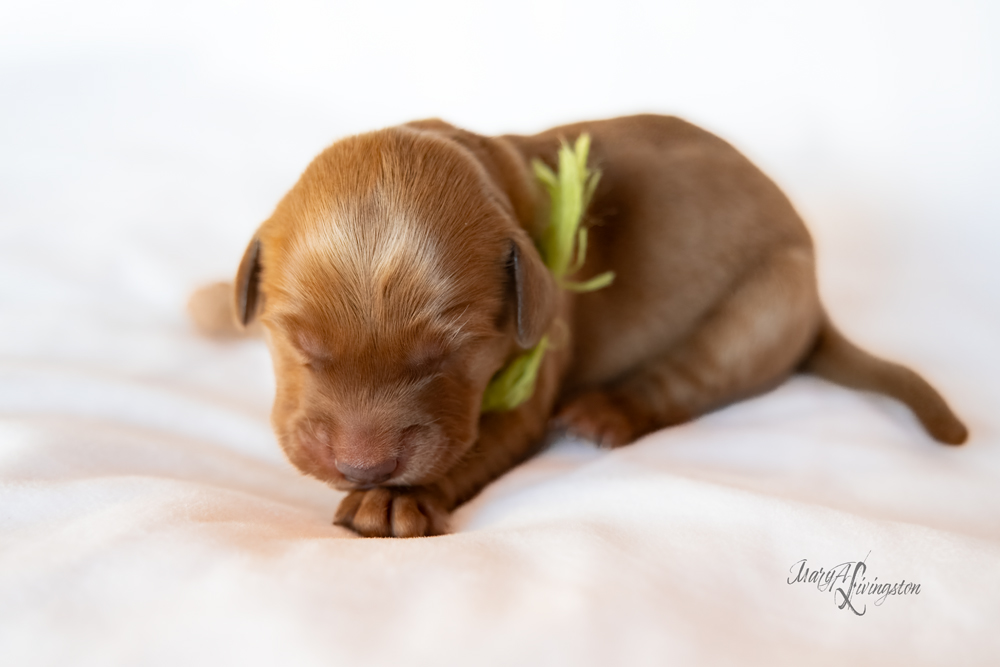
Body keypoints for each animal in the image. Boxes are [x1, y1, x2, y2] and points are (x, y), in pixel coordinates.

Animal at [189, 115, 968, 540]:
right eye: (299, 342)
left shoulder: (536, 360)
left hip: (758, 309)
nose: (363, 465)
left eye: (451, 352)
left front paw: (395, 501)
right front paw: (212, 301)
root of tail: (818, 298)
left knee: (682, 383)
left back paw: (606, 412)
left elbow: (481, 441)